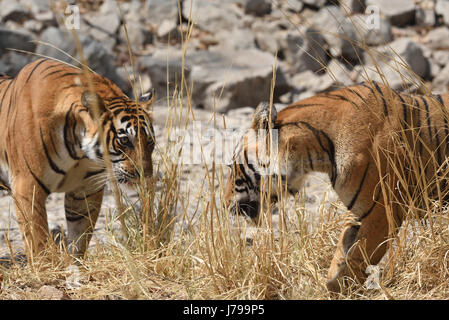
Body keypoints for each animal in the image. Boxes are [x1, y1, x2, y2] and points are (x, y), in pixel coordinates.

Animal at [0, 58, 156, 262]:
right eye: (124, 140)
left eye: (150, 142)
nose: (145, 174)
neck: (79, 151)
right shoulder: (27, 185)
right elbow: (37, 237)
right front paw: (46, 266)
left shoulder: (86, 190)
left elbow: (80, 233)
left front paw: (75, 263)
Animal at [224, 81, 449, 294]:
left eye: (233, 167)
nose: (225, 204)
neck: (315, 151)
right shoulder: (359, 213)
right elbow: (342, 256)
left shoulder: (383, 213)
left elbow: (356, 260)